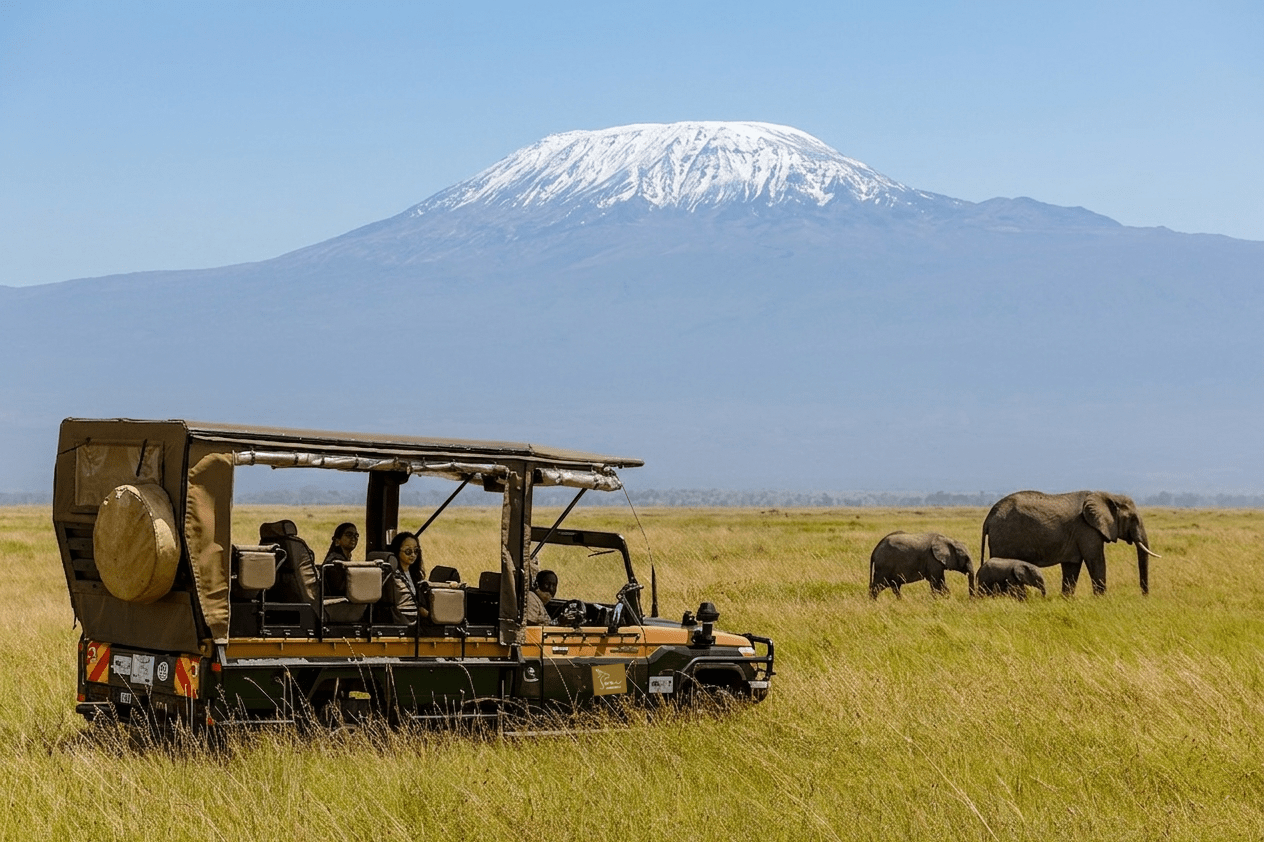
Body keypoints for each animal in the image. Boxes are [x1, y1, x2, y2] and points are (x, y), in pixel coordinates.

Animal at [981, 490, 1158, 596]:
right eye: (1134, 519)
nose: (1144, 597)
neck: (1108, 495)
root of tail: (989, 517)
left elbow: (1071, 568)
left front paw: (1067, 600)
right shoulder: (1086, 529)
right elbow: (1096, 560)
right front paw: (1102, 600)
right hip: (1003, 538)